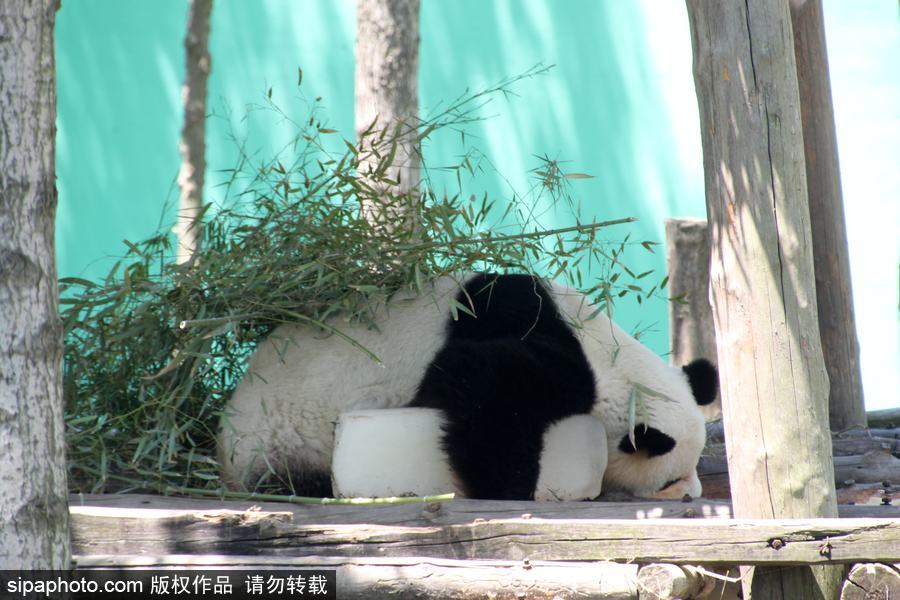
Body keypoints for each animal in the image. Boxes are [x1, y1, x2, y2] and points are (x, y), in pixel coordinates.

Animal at [218, 274, 716, 500]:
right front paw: (508, 489)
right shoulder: (547, 350)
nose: (692, 496)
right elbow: (482, 388)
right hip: (282, 439)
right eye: (670, 479)